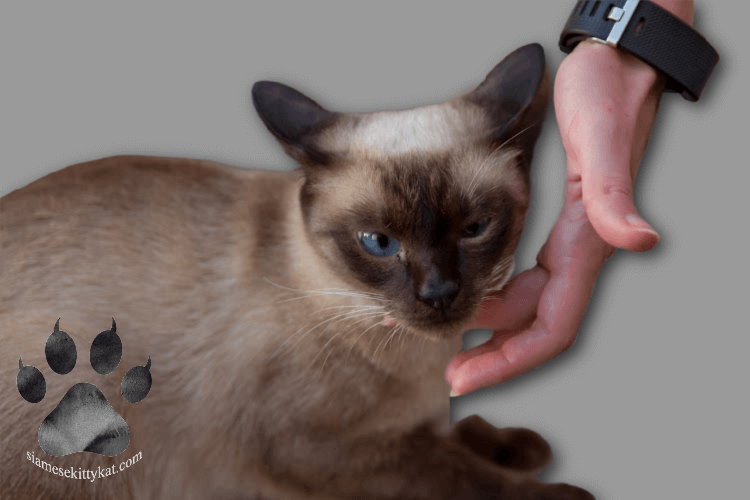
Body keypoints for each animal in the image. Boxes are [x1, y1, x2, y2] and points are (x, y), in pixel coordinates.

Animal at [1, 45, 592, 498]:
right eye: (379, 243)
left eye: (474, 229)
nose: (439, 292)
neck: (421, 362)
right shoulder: (317, 448)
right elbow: (458, 470)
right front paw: (557, 491)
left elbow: (457, 438)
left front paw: (516, 447)